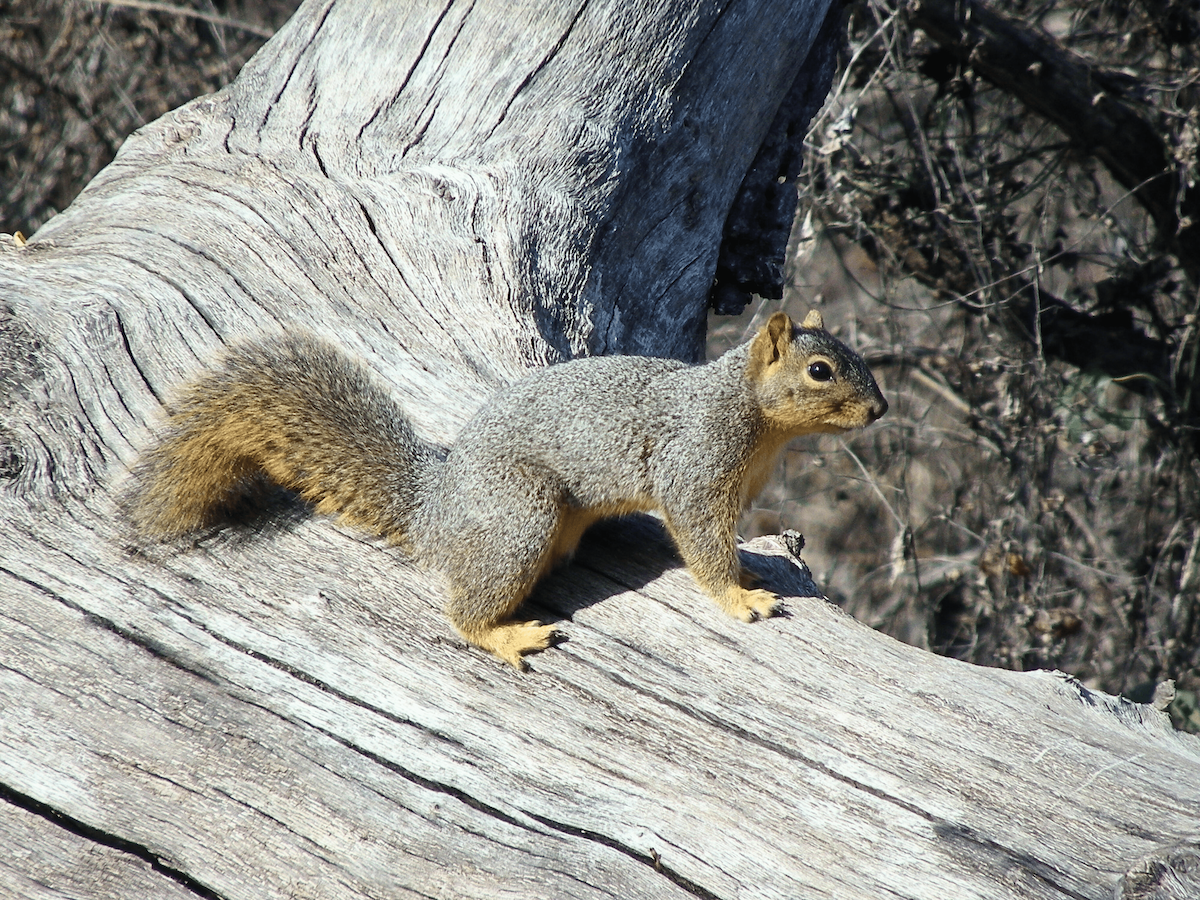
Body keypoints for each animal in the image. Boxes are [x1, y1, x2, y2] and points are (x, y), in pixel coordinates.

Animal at [127, 310, 887, 669]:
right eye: (820, 370)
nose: (880, 409)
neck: (755, 417)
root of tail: (434, 509)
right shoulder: (695, 467)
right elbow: (701, 541)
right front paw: (740, 596)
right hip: (520, 512)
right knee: (463, 611)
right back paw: (506, 635)